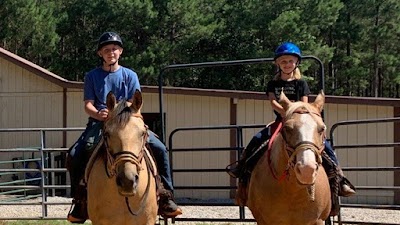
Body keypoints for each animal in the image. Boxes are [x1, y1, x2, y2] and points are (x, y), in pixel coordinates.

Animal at [247, 91, 332, 225]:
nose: (306, 170)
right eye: (287, 128)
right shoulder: (263, 220)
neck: (292, 191)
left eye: (322, 128)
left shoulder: (318, 221)